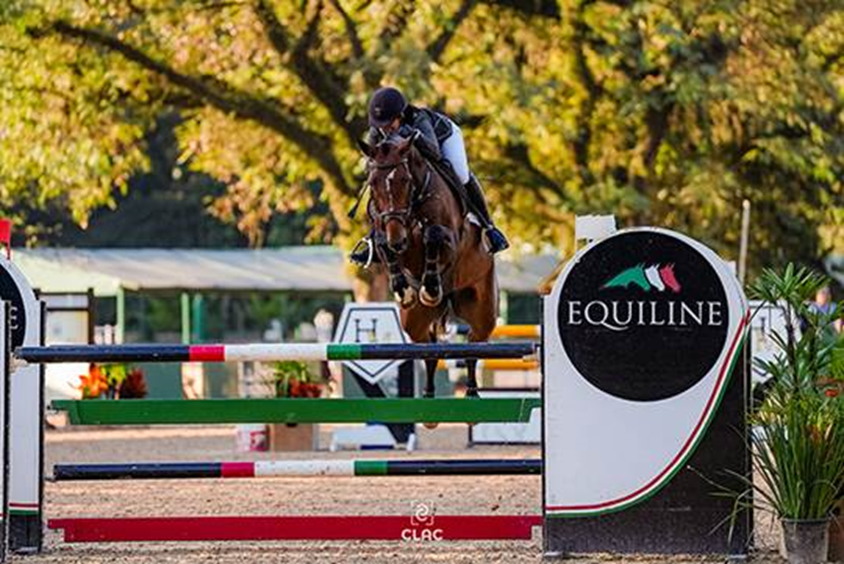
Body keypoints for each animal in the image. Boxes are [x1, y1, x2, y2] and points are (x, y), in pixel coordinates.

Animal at [358, 133, 502, 398]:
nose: (397, 240)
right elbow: (383, 244)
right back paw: (428, 395)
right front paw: (403, 289)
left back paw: (471, 392)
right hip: (414, 321)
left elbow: (432, 234)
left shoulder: (452, 241)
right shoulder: (388, 235)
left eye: (404, 180)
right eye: (373, 183)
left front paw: (431, 288)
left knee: (473, 346)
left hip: (483, 309)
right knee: (430, 349)